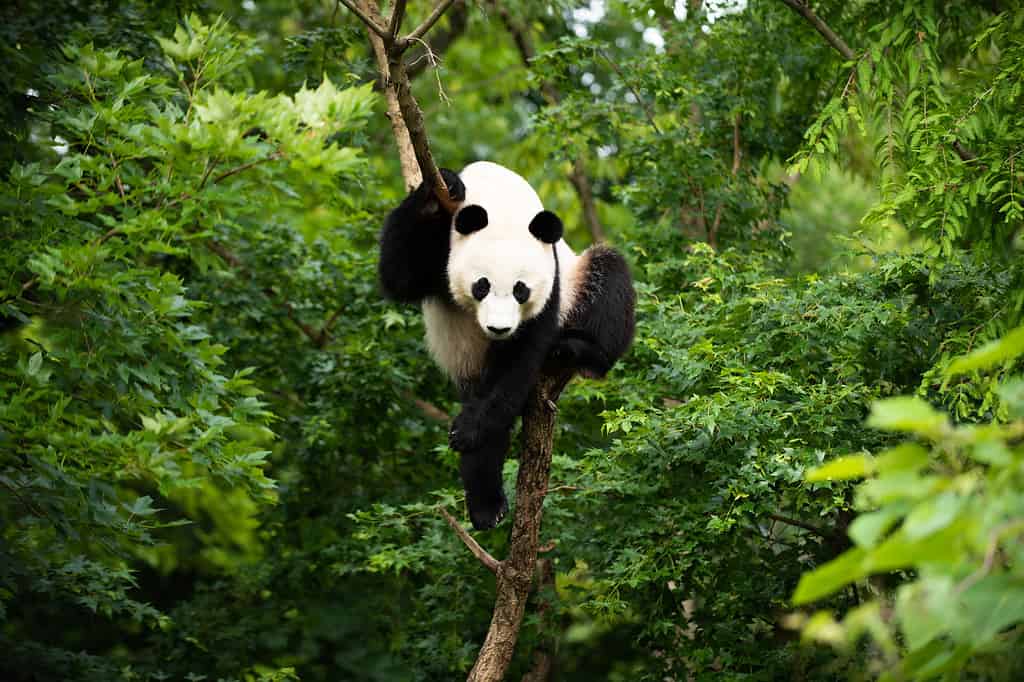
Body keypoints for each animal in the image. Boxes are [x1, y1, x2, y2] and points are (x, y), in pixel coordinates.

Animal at [378, 161, 630, 528]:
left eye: (520, 290)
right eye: (481, 285)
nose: (499, 328)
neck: (503, 205)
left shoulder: (552, 276)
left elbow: (519, 357)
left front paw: (467, 429)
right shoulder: (443, 247)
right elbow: (399, 273)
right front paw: (441, 186)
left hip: (580, 281)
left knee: (610, 274)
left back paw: (578, 350)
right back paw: (487, 506)